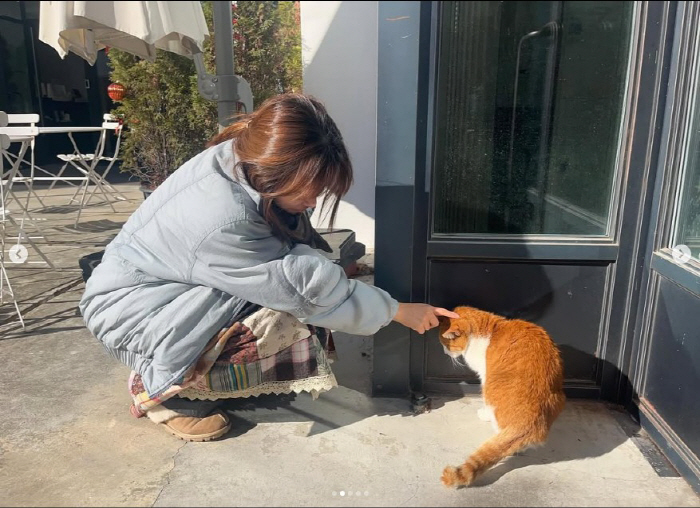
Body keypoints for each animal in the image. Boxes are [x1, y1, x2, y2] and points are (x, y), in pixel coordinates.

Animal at [440, 306, 568, 488]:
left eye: (445, 343)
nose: (445, 352)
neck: (492, 329)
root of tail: (529, 423)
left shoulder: (484, 375)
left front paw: (483, 413)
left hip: (490, 387)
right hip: (559, 396)